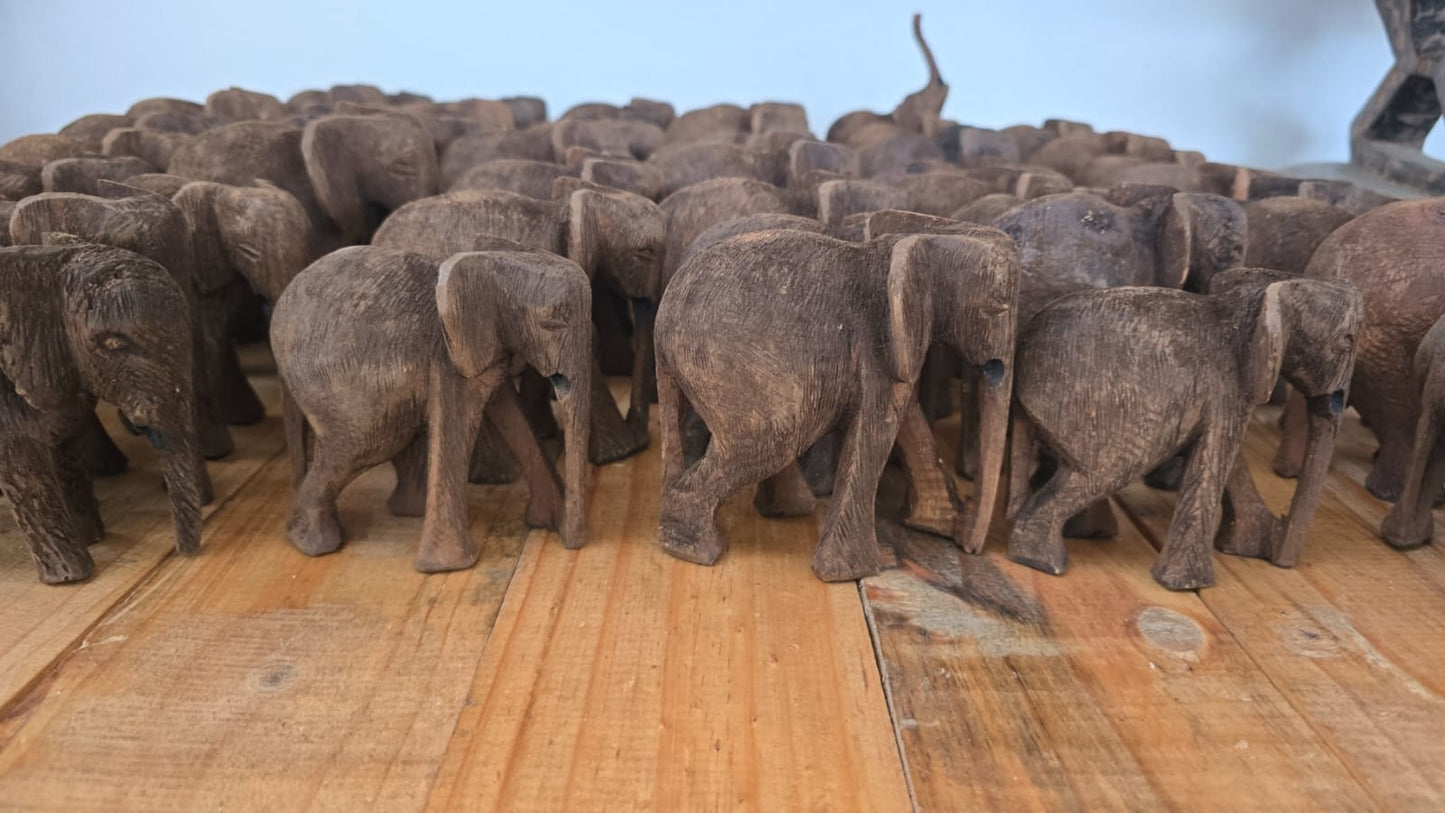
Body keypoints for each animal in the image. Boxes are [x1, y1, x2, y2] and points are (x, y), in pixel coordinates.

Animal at [0, 243, 208, 583]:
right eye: (112, 343)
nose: (185, 554)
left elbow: (67, 449)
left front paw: (93, 538)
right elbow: (26, 474)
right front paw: (72, 577)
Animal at [270, 246, 592, 570]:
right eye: (552, 322)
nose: (570, 544)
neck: (490, 261)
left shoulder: (484, 351)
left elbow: (514, 418)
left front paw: (544, 520)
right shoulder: (447, 358)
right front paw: (448, 567)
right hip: (333, 385)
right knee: (365, 446)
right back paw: (316, 543)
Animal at [655, 228, 1019, 580]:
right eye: (999, 306)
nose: (969, 546)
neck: (926, 239)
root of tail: (661, 323)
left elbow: (903, 420)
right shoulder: (879, 346)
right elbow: (875, 436)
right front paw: (857, 571)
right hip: (726, 368)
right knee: (769, 442)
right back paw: (695, 551)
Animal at [1008, 270, 1362, 589]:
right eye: (1346, 342)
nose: (1282, 562)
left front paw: (1238, 549)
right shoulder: (1227, 388)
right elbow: (1215, 462)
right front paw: (1188, 585)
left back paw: (1084, 537)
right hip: (1106, 417)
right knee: (1100, 475)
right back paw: (1044, 562)